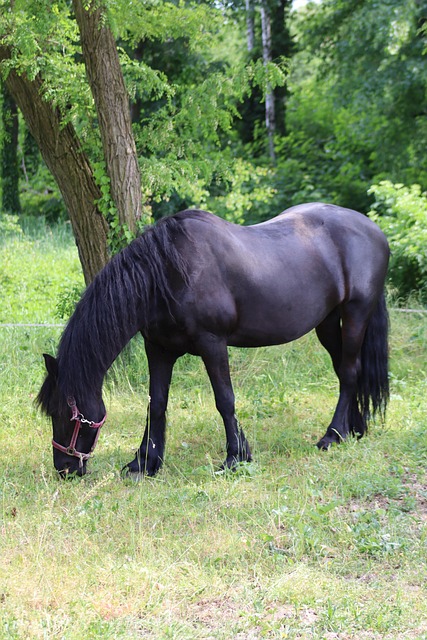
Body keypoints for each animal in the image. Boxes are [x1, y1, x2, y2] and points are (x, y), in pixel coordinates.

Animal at [37, 203, 390, 478]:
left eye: (64, 414)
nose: (64, 468)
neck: (167, 273)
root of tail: (374, 230)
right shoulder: (159, 349)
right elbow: (157, 402)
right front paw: (145, 462)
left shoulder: (212, 344)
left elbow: (225, 400)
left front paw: (236, 458)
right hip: (327, 324)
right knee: (347, 371)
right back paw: (354, 429)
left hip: (356, 314)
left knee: (349, 373)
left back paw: (333, 436)